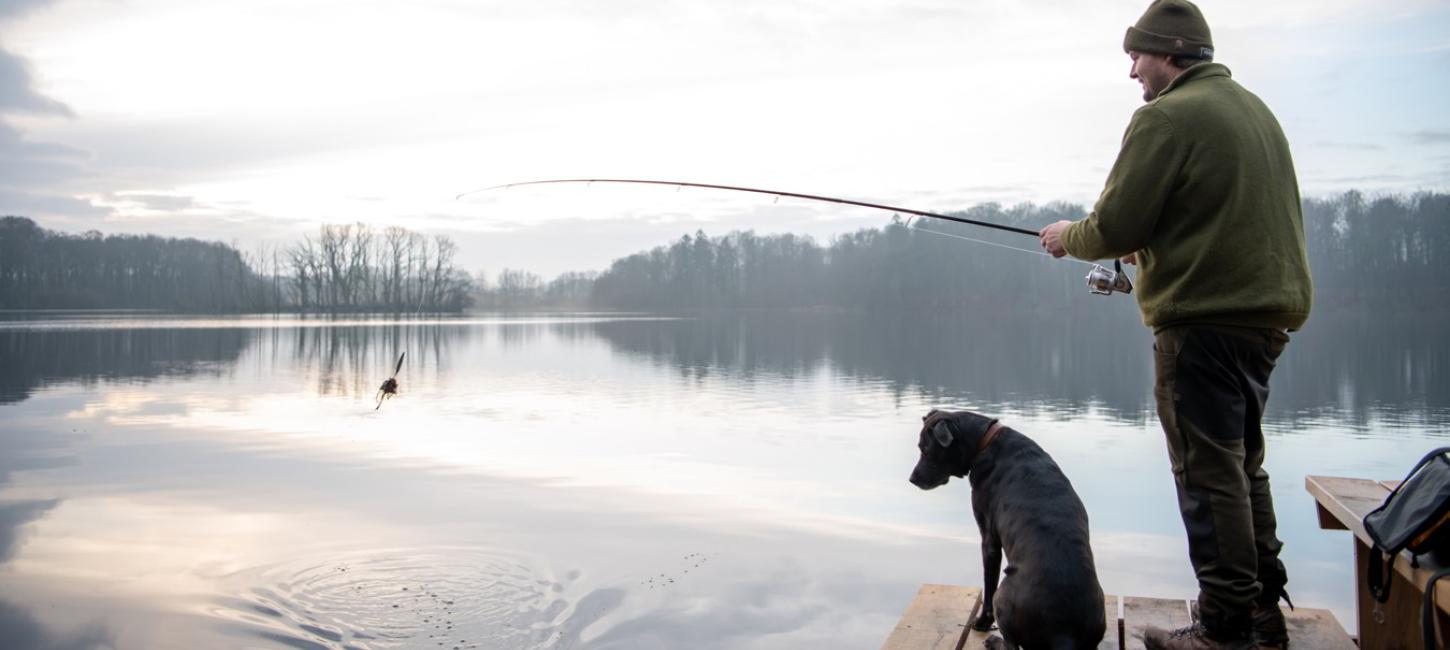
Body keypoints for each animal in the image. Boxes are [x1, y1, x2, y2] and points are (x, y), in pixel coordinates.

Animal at [910, 409, 1102, 647]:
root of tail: (1065, 635)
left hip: (1003, 594)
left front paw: (982, 622)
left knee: (1010, 642)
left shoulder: (989, 537)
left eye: (925, 449)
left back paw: (993, 641)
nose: (912, 479)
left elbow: (988, 582)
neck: (984, 441)